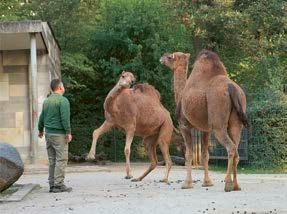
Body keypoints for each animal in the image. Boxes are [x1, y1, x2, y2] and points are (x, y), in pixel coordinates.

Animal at [161, 50, 249, 192]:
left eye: (170, 57)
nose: (162, 58)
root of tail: (231, 88)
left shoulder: (184, 125)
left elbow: (189, 154)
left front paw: (187, 184)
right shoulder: (205, 129)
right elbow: (205, 154)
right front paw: (207, 182)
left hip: (218, 124)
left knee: (230, 148)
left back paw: (228, 184)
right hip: (236, 123)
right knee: (236, 149)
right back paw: (236, 185)